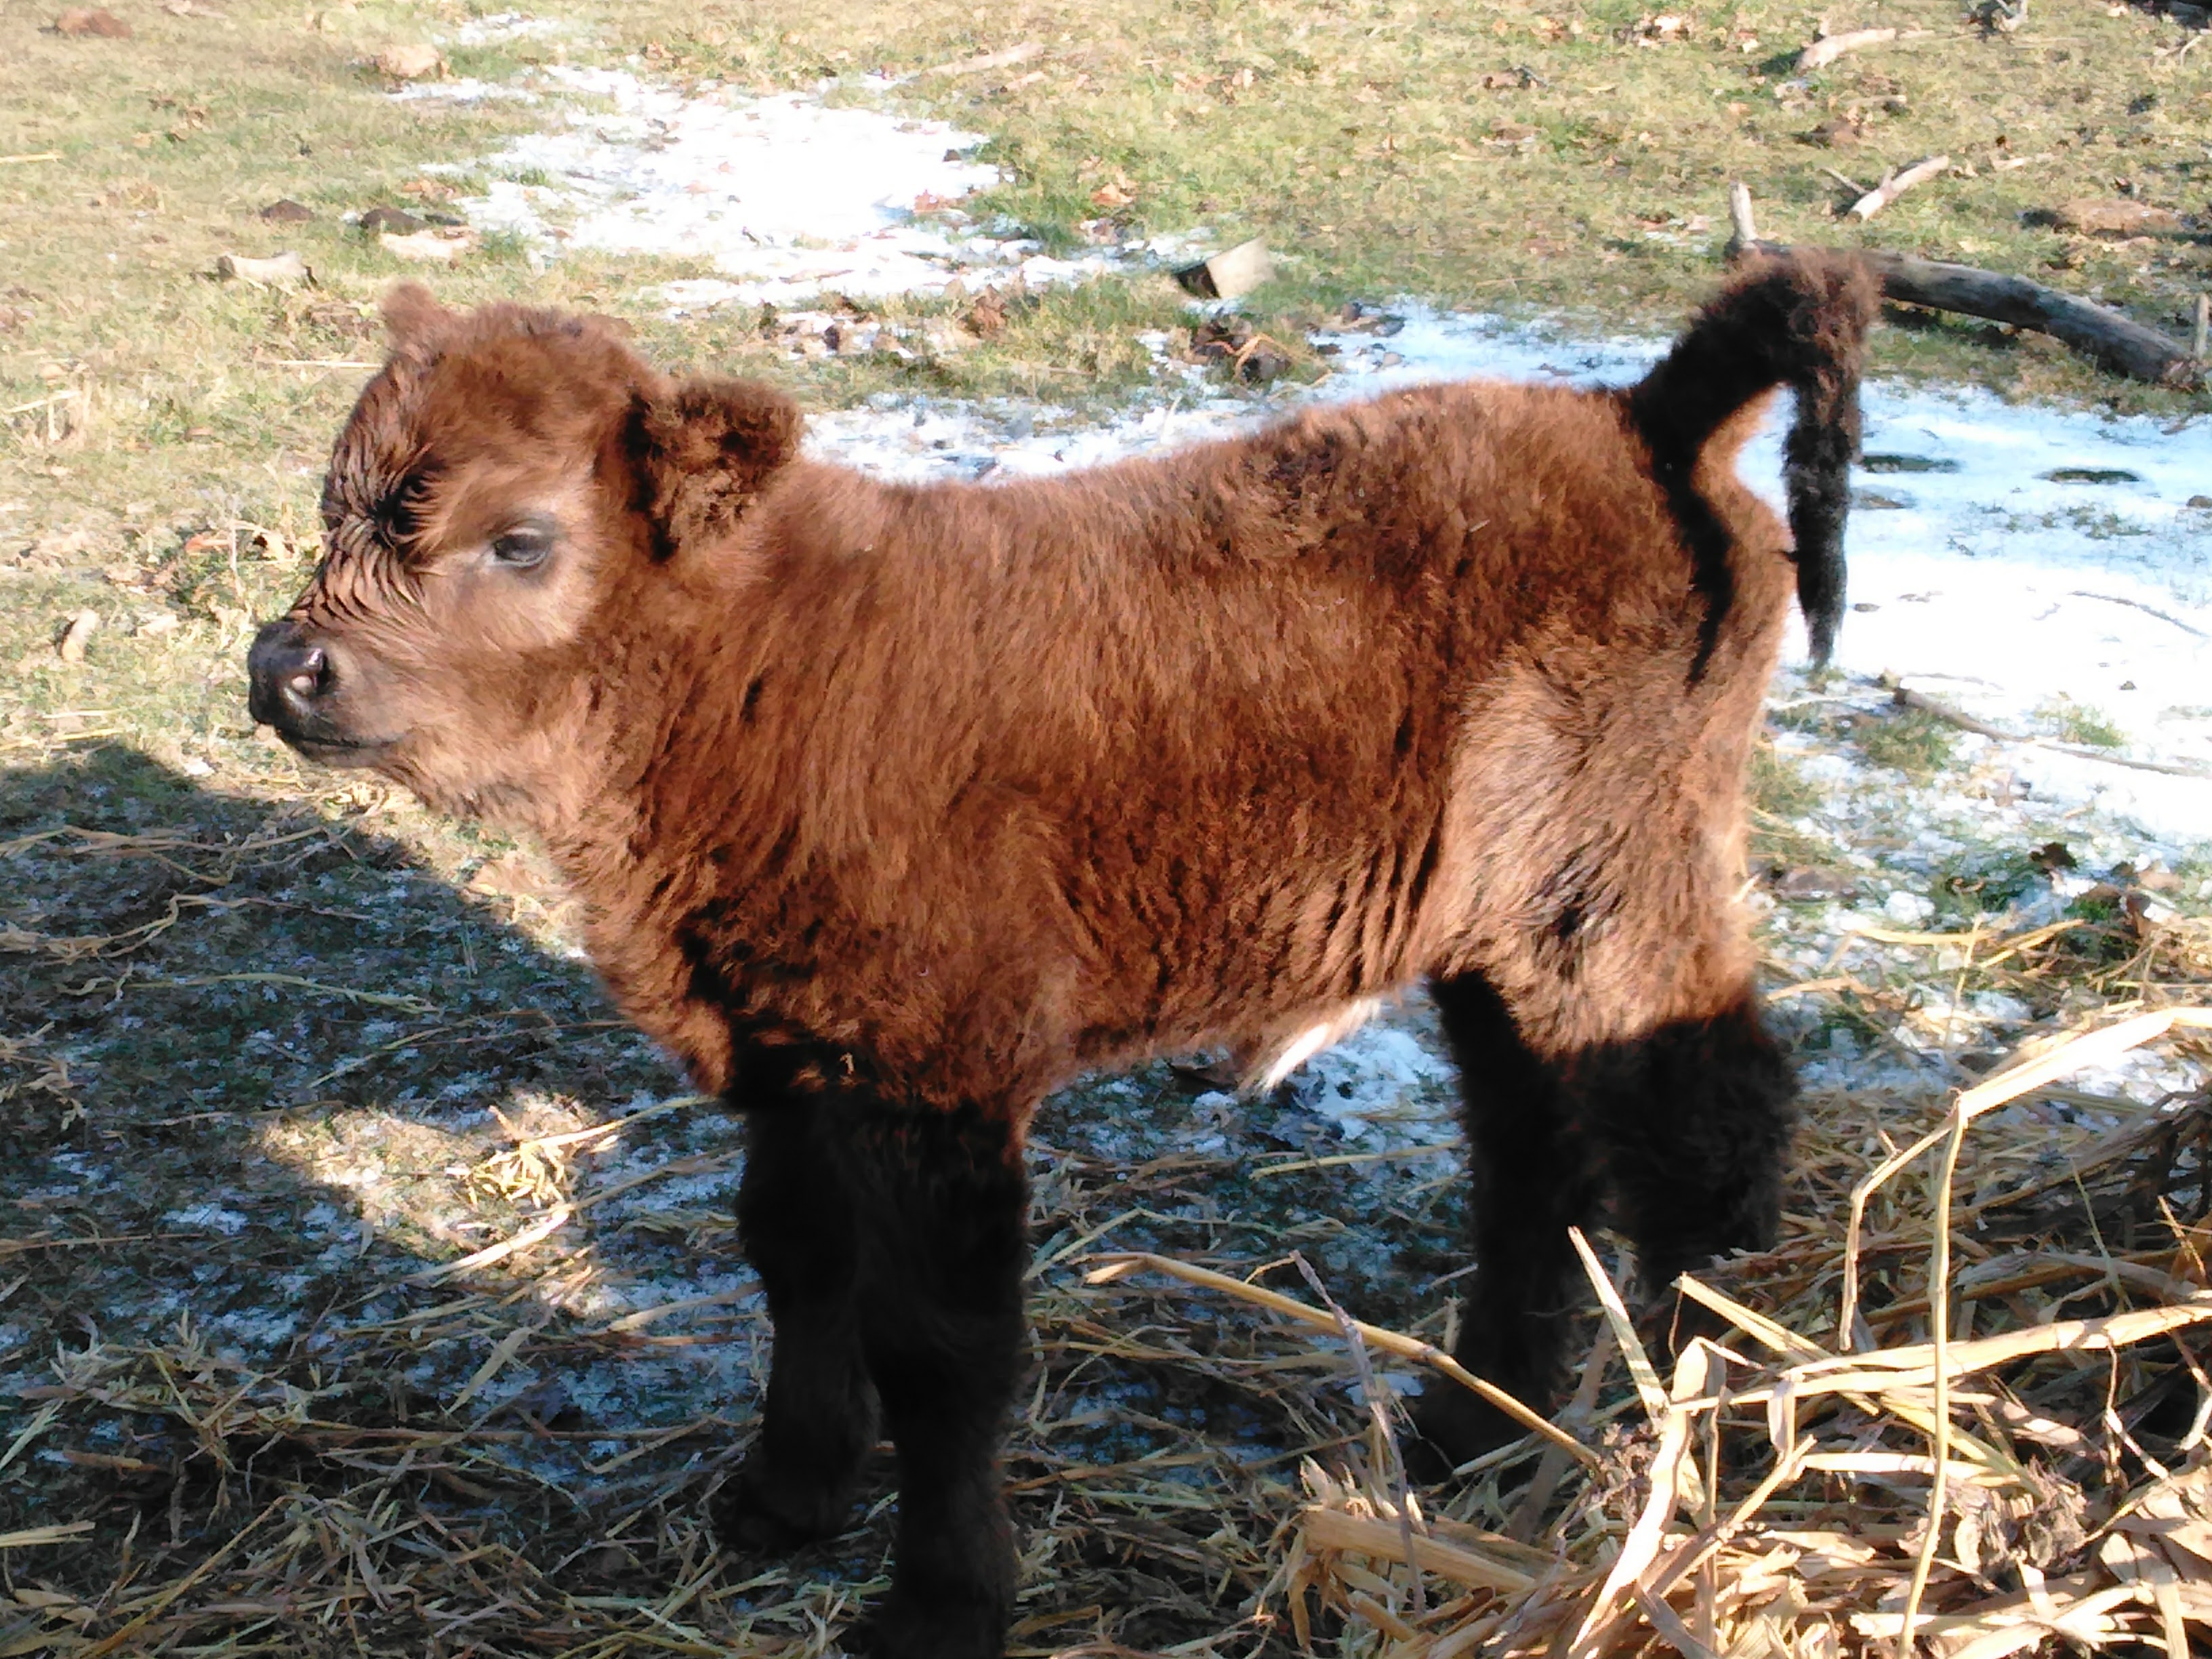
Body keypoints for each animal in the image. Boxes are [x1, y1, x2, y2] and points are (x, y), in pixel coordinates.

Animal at [254, 260, 1884, 1659]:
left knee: (1703, 1130)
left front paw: (940, 1608)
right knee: (1533, 1158)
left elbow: (943, 1348)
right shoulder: (790, 1051)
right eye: (335, 501)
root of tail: (1638, 417)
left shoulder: (936, 1076)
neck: (761, 657)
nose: (287, 668)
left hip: (1613, 896)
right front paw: (784, 1493)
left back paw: (1697, 1452)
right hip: (1492, 937)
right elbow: (795, 1258)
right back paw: (1470, 1436)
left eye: (519, 535)